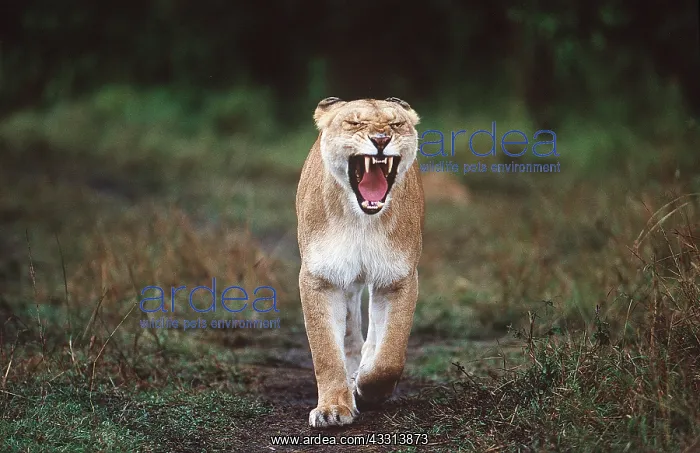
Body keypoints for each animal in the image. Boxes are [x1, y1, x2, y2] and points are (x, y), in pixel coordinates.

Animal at [295, 97, 425, 427]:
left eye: (396, 124)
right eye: (354, 123)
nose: (380, 140)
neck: (361, 220)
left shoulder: (398, 279)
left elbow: (390, 356)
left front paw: (366, 388)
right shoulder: (320, 278)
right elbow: (326, 352)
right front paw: (332, 409)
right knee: (351, 330)